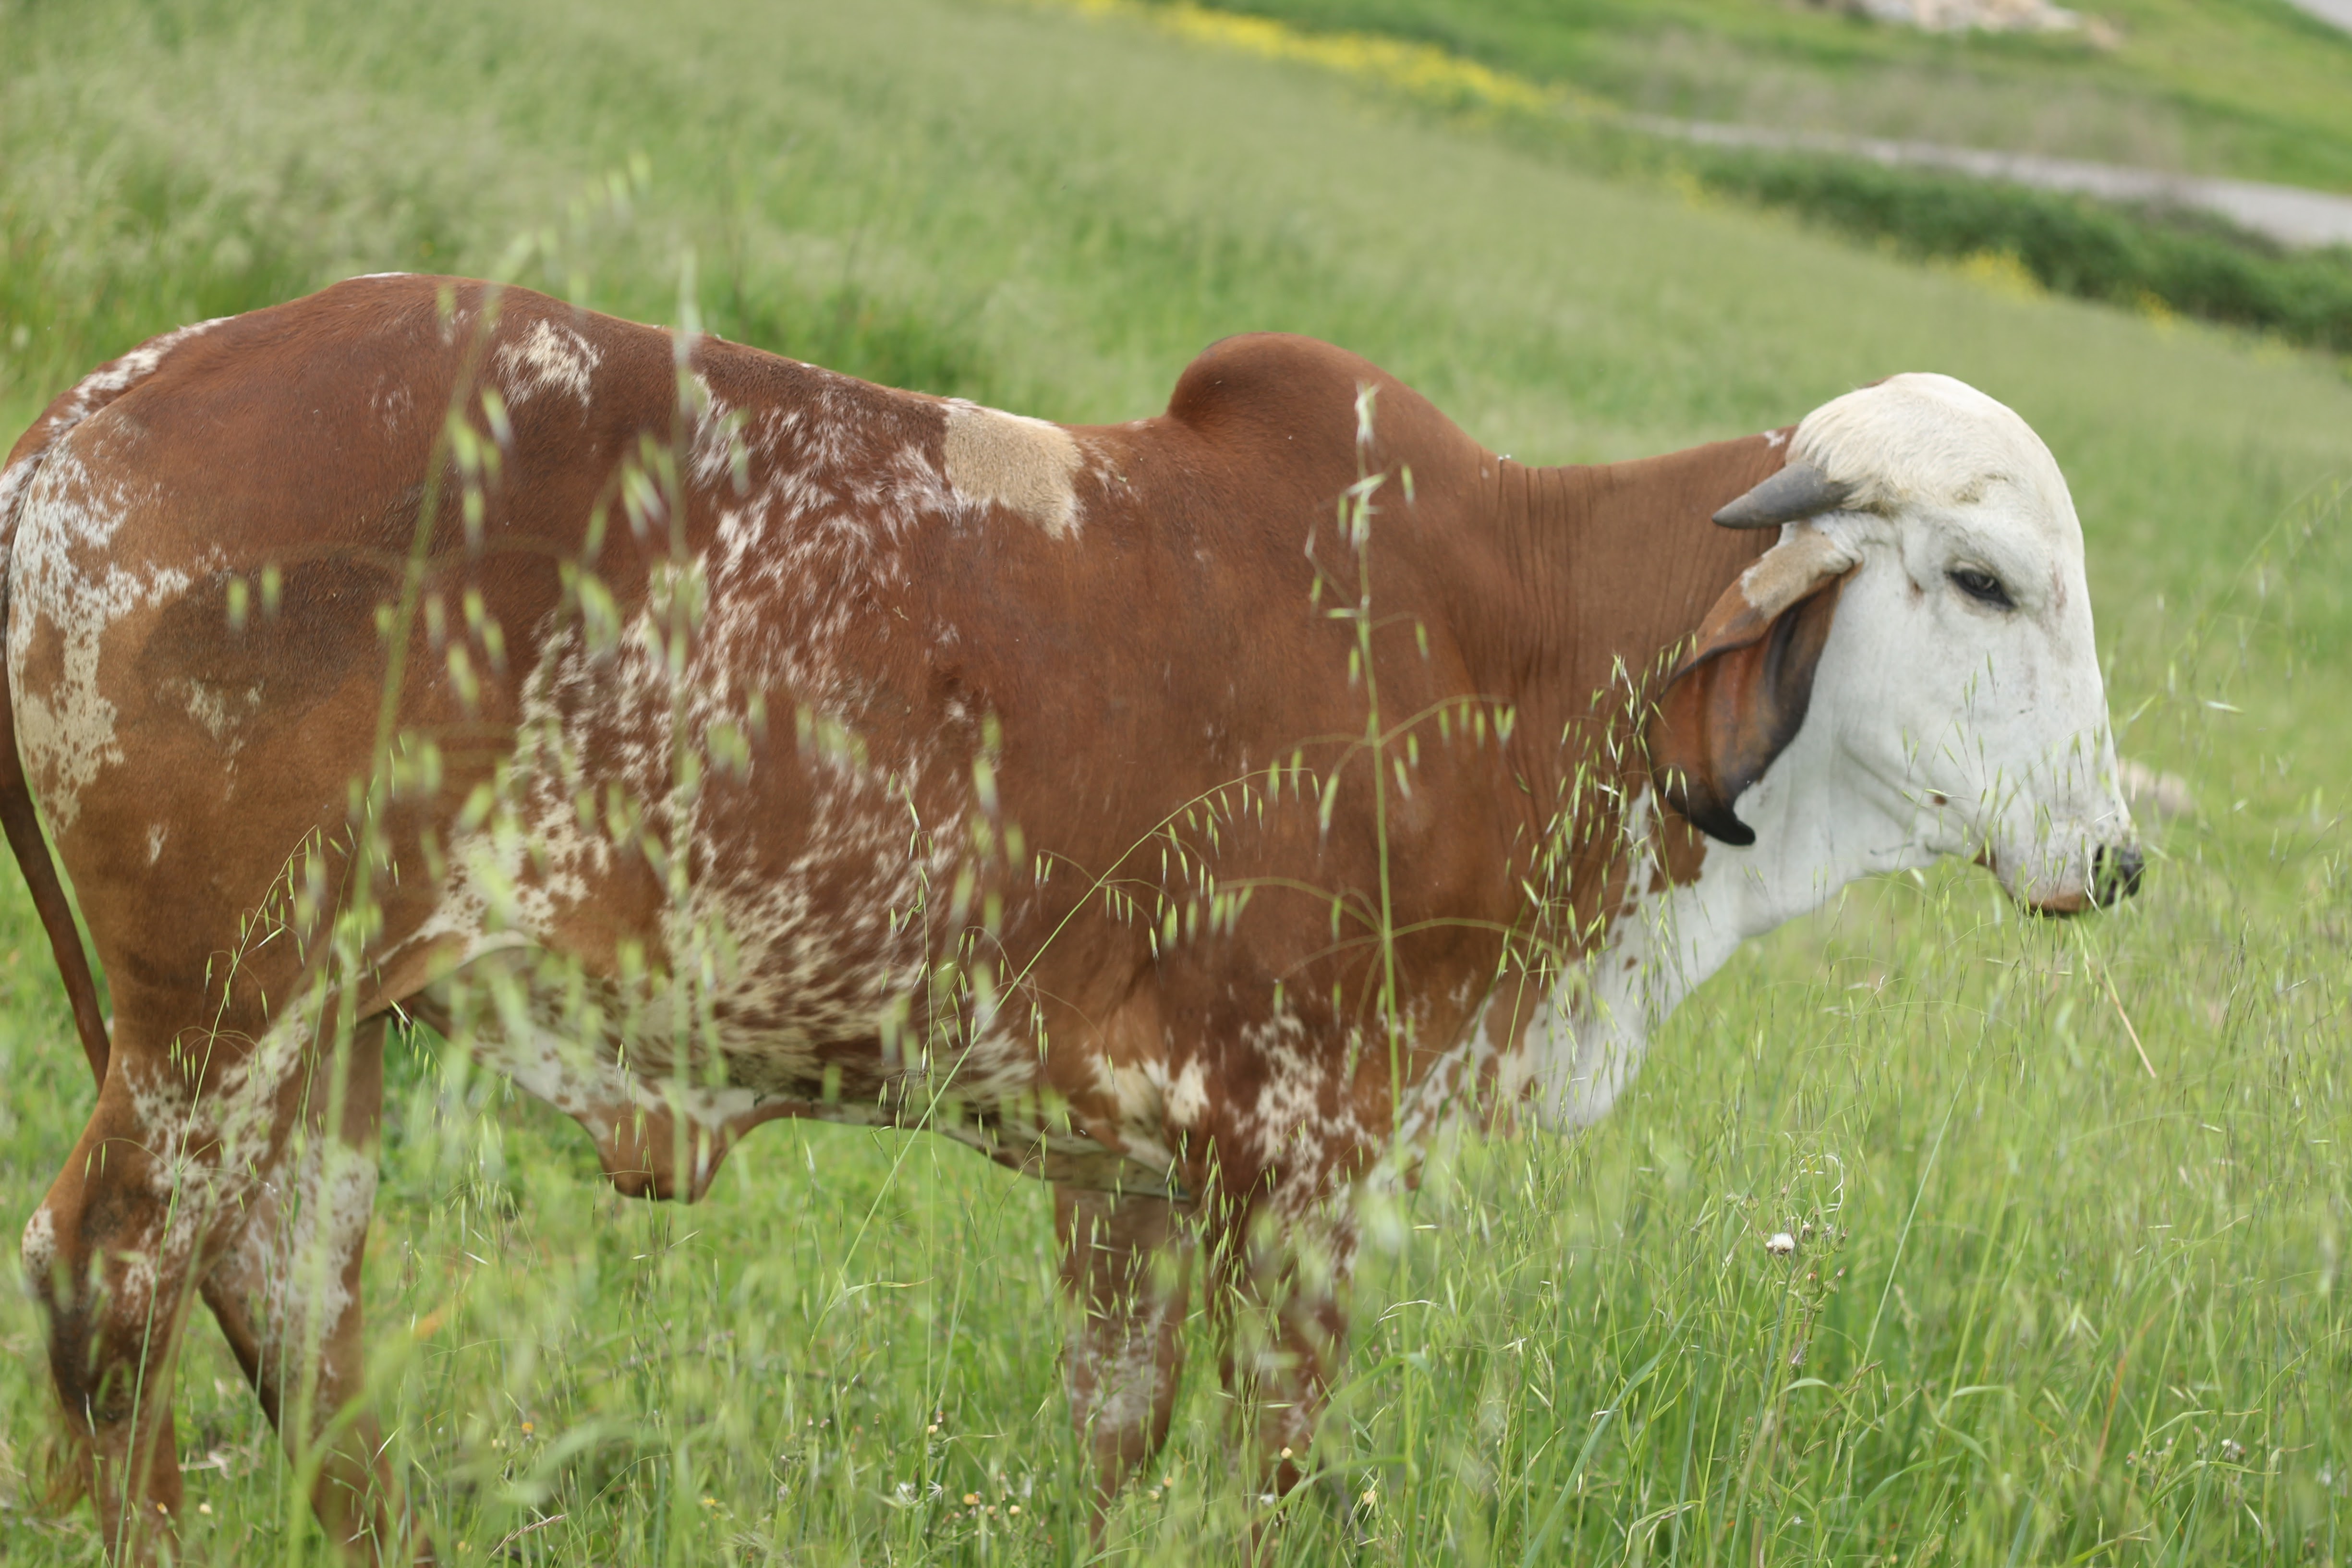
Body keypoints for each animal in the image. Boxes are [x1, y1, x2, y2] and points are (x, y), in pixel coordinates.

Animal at [2, 275, 2139, 1563]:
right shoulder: (1305, 1167)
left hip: (325, 1026)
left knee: (286, 1288)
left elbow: (1117, 1432)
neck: (1522, 656)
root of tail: (82, 424)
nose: (2112, 860)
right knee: (112, 1278)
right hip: (217, 1011)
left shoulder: (1126, 1171)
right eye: (1980, 579)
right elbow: (1267, 1456)